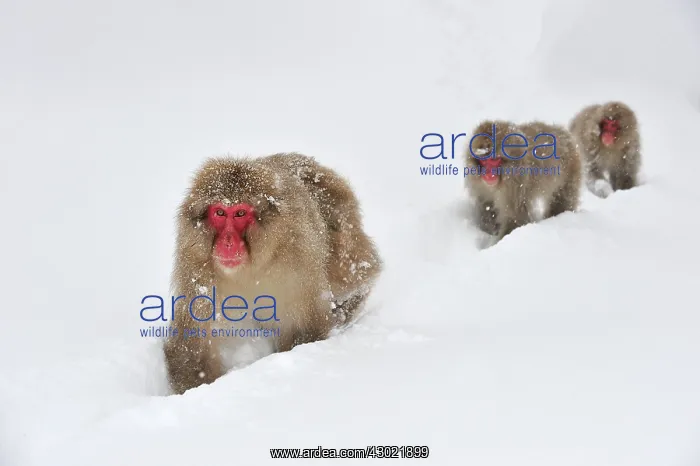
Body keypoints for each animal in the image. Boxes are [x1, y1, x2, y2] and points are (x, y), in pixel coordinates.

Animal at [163, 153, 382, 394]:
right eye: (219, 212)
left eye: (240, 213)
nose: (227, 242)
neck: (250, 267)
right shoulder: (195, 264)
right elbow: (194, 343)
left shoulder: (297, 262)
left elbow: (302, 328)